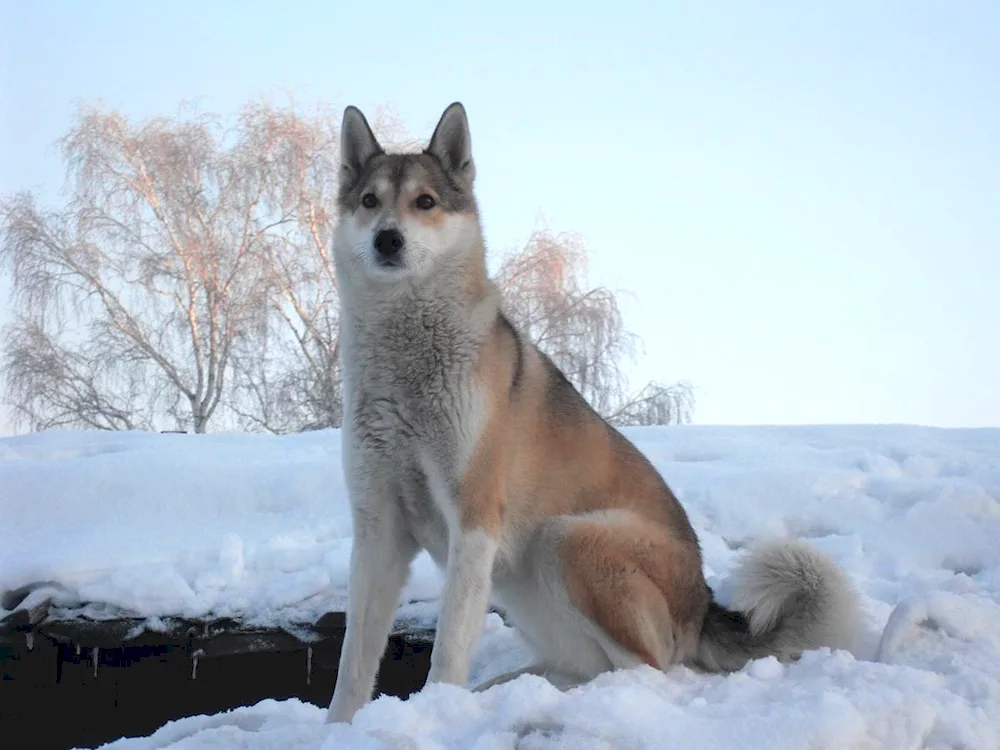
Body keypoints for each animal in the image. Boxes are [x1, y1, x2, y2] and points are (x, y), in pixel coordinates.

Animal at [326, 103, 860, 724]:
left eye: (426, 202)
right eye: (370, 201)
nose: (387, 239)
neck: (405, 364)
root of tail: (702, 606)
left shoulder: (475, 519)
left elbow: (449, 649)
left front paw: (439, 713)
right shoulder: (378, 528)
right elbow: (353, 662)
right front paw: (340, 729)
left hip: (567, 539)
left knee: (649, 671)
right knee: (588, 666)